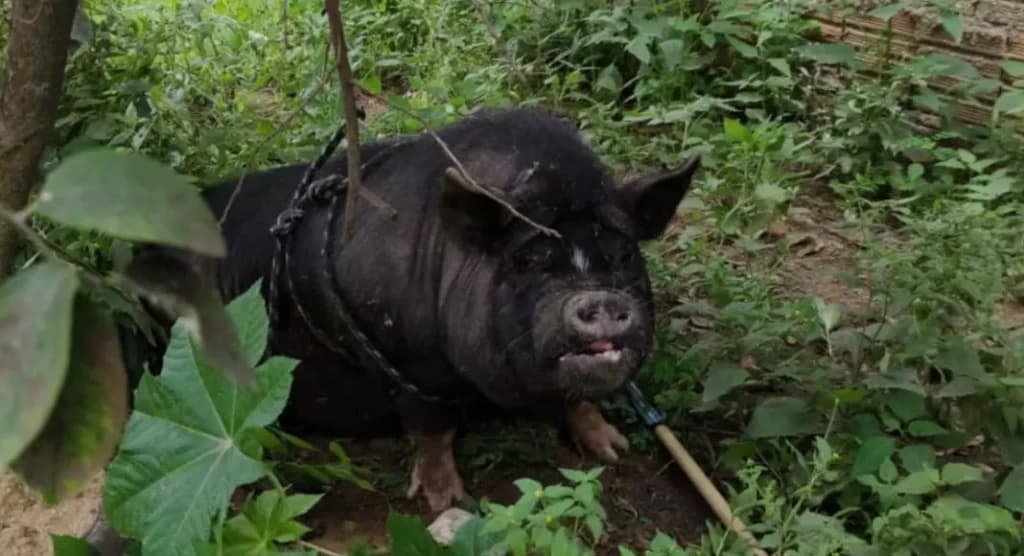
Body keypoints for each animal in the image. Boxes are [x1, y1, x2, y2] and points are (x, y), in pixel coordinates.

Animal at [127, 107, 701, 513]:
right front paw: (446, 502)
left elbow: (578, 400)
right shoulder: (410, 362)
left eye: (625, 254)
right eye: (527, 260)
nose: (600, 300)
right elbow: (432, 427)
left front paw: (614, 450)